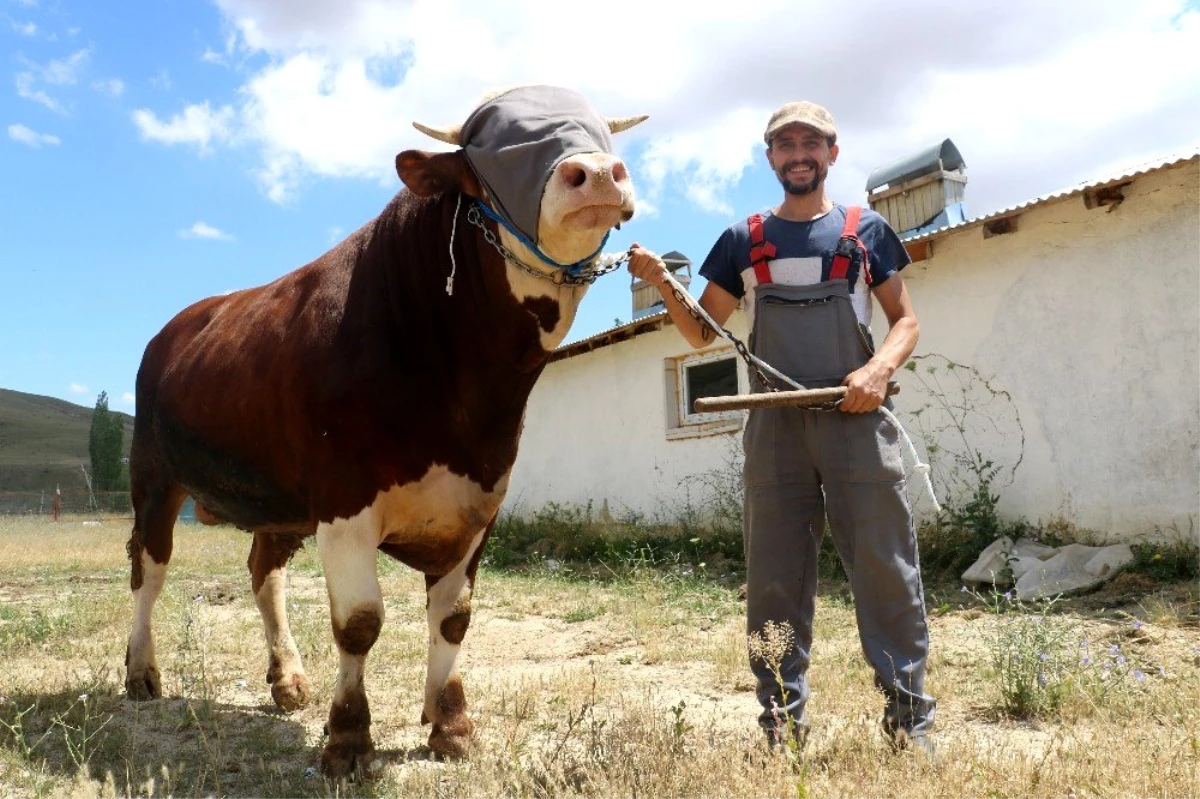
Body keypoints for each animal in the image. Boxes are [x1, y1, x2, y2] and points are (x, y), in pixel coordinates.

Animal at [124, 85, 648, 772]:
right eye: (492, 157)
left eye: (603, 136)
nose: (598, 173)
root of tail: (178, 323)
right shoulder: (344, 501)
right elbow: (359, 622)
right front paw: (348, 736)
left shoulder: (479, 503)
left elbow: (453, 620)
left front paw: (450, 723)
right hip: (154, 476)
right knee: (149, 569)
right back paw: (140, 672)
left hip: (279, 501)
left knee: (264, 571)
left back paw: (287, 678)